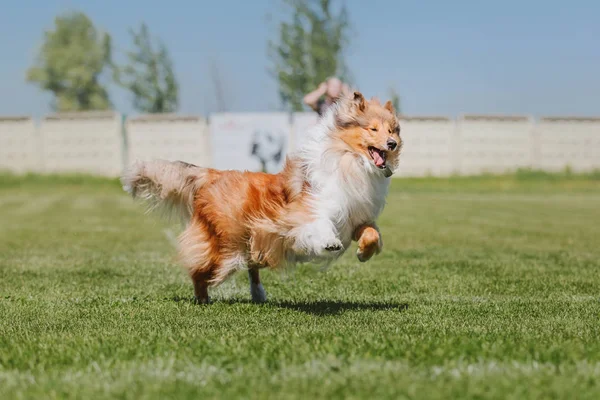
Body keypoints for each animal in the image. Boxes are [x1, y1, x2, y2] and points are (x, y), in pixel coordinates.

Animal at [122, 91, 404, 304]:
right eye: (373, 128)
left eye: (393, 130)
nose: (391, 144)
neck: (350, 161)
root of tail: (210, 174)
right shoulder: (306, 210)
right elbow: (319, 224)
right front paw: (329, 243)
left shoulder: (356, 217)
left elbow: (372, 234)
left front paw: (363, 253)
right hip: (227, 248)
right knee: (199, 270)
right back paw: (203, 299)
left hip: (255, 242)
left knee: (251, 267)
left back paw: (258, 294)